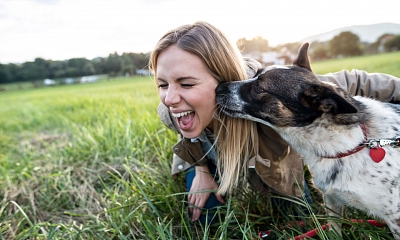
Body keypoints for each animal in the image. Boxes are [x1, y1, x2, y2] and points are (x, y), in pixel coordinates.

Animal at [217, 42, 400, 238]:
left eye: (259, 88)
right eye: (254, 74)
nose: (218, 88)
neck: (354, 142)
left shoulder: (395, 219)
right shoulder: (332, 202)